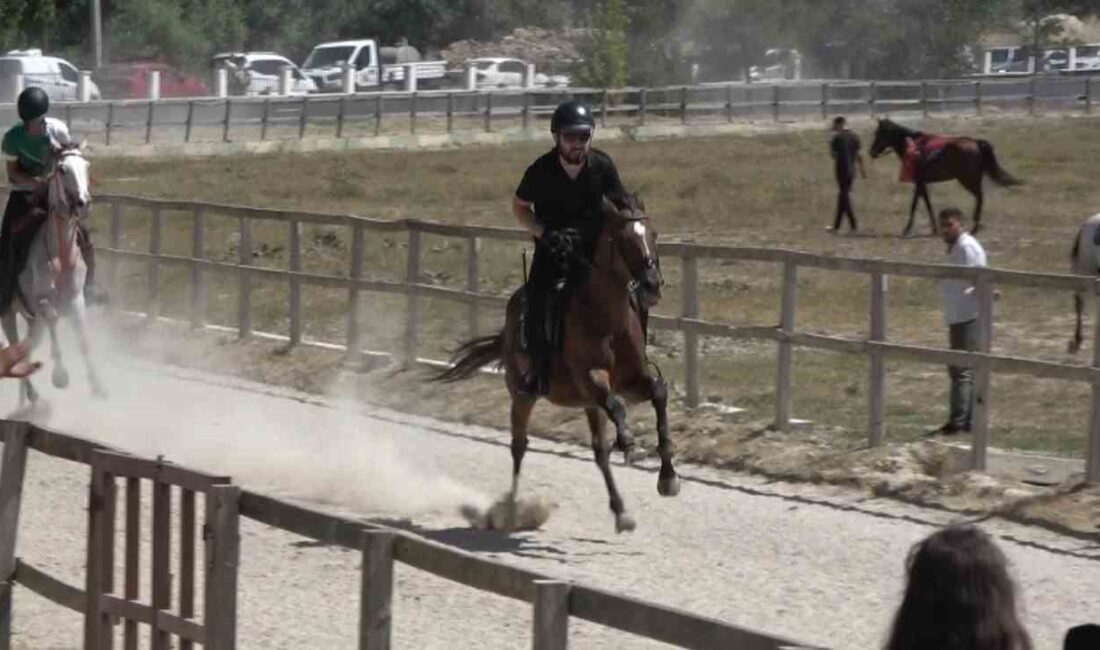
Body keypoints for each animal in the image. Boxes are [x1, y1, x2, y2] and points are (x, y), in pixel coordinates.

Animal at [1, 145, 106, 404]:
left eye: (86, 166)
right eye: (62, 169)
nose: (83, 202)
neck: (60, 254)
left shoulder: (76, 300)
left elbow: (83, 338)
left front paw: (97, 386)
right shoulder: (42, 301)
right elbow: (53, 318)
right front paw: (60, 375)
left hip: (31, 320)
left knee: (26, 345)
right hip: (9, 314)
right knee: (15, 344)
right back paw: (31, 392)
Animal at [435, 195, 677, 536]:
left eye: (653, 234)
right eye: (624, 240)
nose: (652, 285)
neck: (607, 319)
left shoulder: (631, 380)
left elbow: (658, 393)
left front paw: (668, 478)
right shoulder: (592, 378)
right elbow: (617, 406)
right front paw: (630, 445)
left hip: (586, 404)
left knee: (599, 453)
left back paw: (621, 512)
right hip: (523, 395)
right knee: (519, 446)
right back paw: (511, 512)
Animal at [866, 118, 1020, 236]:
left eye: (879, 133)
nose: (871, 152)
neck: (914, 147)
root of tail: (976, 143)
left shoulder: (919, 182)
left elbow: (914, 205)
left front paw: (907, 229)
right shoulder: (922, 183)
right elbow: (927, 203)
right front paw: (935, 228)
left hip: (968, 179)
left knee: (980, 197)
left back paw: (975, 226)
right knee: (980, 197)